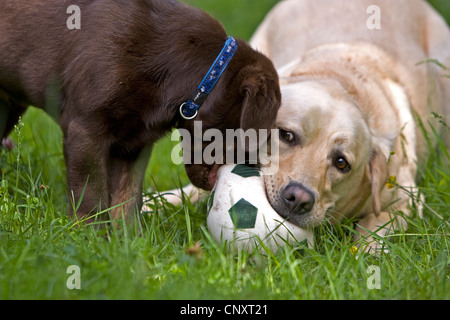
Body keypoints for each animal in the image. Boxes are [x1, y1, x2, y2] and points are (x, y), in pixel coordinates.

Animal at [250, 0, 450, 251]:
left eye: (341, 163)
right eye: (286, 135)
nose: (298, 199)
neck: (340, 79)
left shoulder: (406, 201)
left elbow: (374, 229)